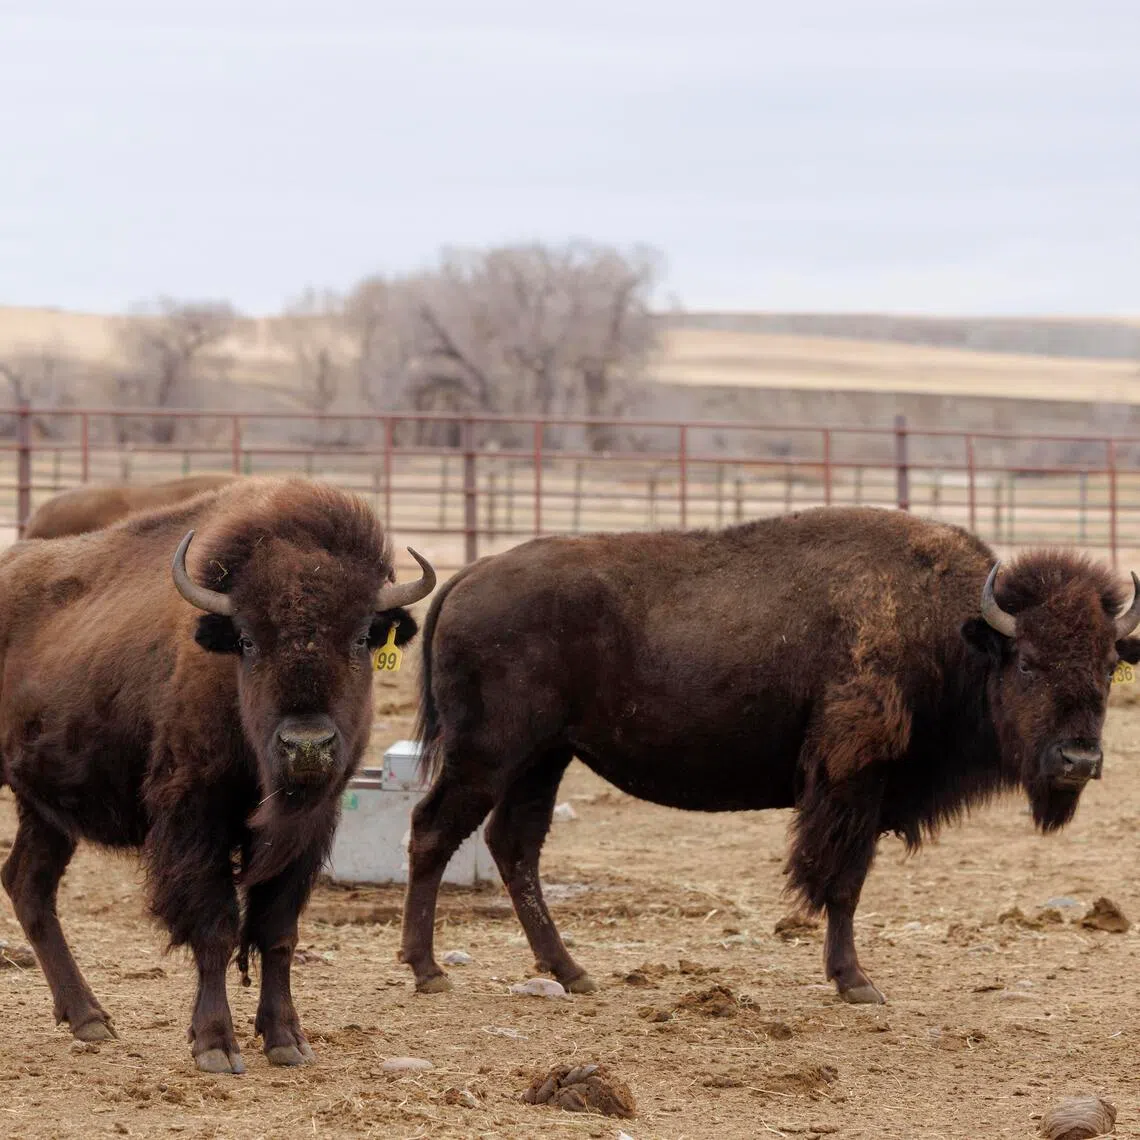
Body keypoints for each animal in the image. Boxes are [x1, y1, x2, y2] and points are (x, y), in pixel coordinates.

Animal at [401, 506, 1140, 1004]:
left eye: (1108, 666)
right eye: (1028, 664)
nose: (1078, 760)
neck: (952, 632)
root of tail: (469, 576)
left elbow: (846, 880)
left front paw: (850, 977)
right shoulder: (854, 780)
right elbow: (843, 881)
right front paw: (855, 982)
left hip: (543, 760)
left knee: (514, 846)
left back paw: (572, 973)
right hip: (488, 756)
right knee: (434, 831)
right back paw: (427, 970)